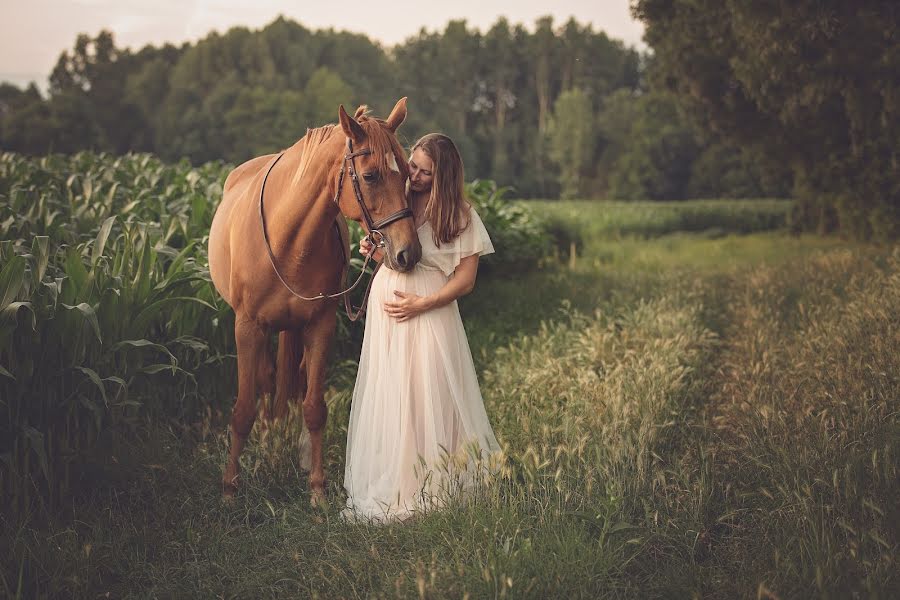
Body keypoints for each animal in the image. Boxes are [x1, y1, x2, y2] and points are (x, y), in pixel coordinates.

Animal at [209, 99, 424, 506]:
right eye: (370, 176)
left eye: (406, 173)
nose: (409, 253)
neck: (287, 238)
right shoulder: (247, 328)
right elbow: (243, 409)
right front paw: (229, 488)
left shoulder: (320, 326)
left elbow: (314, 408)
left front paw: (318, 489)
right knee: (265, 381)